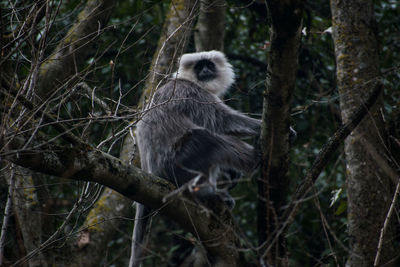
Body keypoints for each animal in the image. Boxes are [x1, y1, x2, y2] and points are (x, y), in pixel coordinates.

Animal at [130, 50, 262, 267]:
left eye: (208, 65)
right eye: (199, 67)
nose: (206, 71)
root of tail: (152, 172)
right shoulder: (192, 93)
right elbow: (223, 122)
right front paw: (260, 128)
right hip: (178, 162)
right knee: (209, 138)